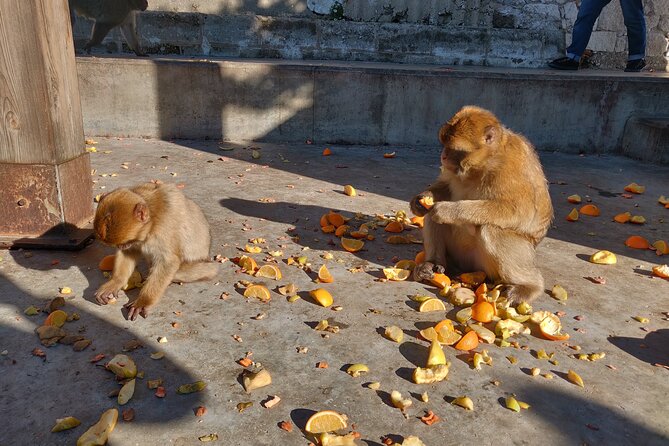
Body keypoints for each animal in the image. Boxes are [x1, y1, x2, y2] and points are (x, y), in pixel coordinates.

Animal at [94, 182, 219, 320]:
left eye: (124, 243)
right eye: (120, 244)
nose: (121, 247)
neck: (152, 222)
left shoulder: (165, 227)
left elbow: (168, 262)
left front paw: (144, 301)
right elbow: (130, 252)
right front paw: (115, 282)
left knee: (209, 268)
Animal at [410, 106, 553, 304]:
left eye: (455, 149)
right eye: (444, 144)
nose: (443, 156)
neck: (483, 164)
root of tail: (468, 267)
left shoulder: (511, 167)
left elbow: (521, 212)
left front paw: (448, 210)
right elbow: (445, 187)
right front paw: (419, 200)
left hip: (487, 265)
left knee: (491, 229)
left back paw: (529, 286)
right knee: (430, 217)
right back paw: (433, 263)